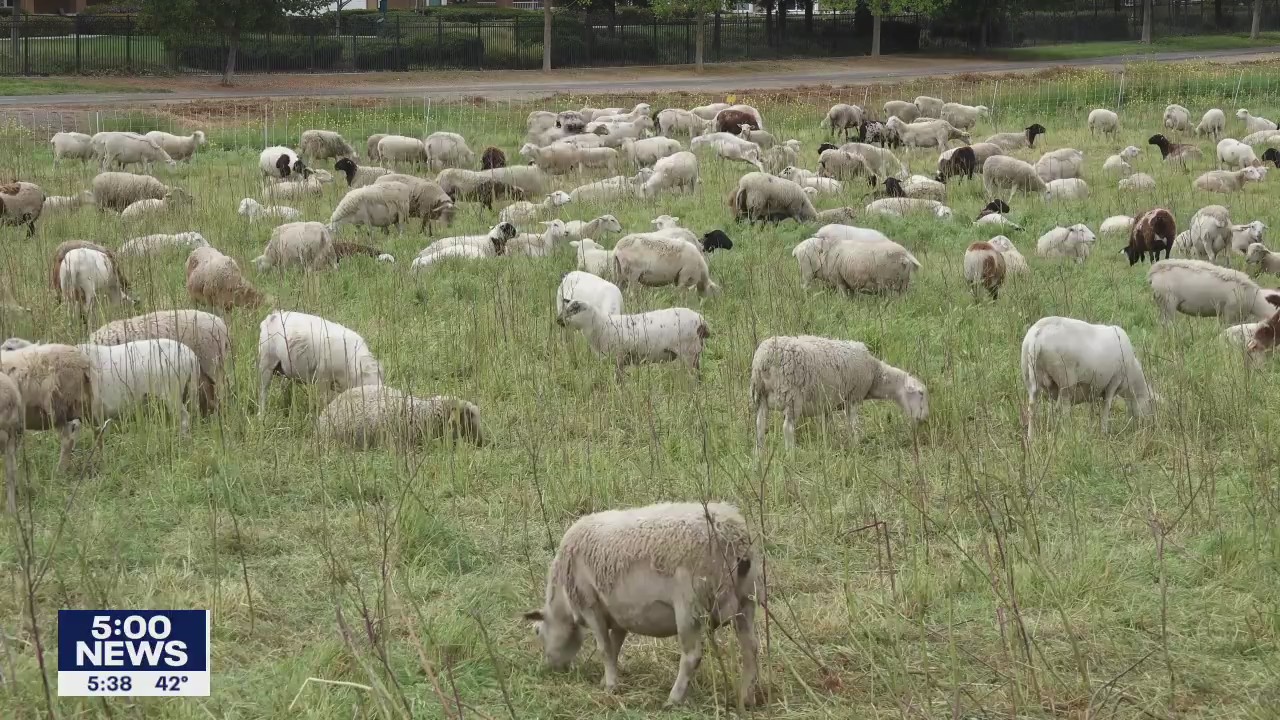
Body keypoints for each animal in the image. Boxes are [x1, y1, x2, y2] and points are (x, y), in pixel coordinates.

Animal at [524, 501, 758, 707]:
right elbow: (615, 646)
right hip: (748, 600)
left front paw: (610, 686)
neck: (563, 601)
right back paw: (746, 698)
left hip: (689, 606)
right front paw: (607, 680)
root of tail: (732, 535)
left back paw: (673, 699)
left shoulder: (590, 605)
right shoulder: (620, 614)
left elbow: (604, 648)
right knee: (751, 649)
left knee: (692, 656)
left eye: (538, 632)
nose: (549, 668)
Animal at [558, 300, 709, 379]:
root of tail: (701, 320)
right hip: (694, 353)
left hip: (689, 352)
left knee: (696, 376)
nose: (558, 320)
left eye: (573, 310)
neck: (601, 325)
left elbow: (619, 380)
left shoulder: (618, 357)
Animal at [751, 335, 928, 452]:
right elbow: (853, 424)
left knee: (759, 424)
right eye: (921, 394)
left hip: (760, 395)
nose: (924, 419)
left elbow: (827, 426)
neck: (875, 375)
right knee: (787, 427)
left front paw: (828, 444)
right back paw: (791, 453)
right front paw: (856, 445)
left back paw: (760, 453)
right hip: (792, 396)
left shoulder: (827, 402)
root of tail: (764, 360)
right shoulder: (853, 397)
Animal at [1021, 316, 1155, 435]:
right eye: (1151, 403)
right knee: (1062, 409)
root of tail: (1038, 333)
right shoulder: (1114, 382)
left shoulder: (1094, 388)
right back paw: (1067, 435)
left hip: (1029, 377)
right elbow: (1106, 407)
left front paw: (1091, 430)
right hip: (1065, 379)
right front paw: (1104, 432)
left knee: (1032, 408)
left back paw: (1031, 439)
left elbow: (1092, 410)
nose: (1149, 427)